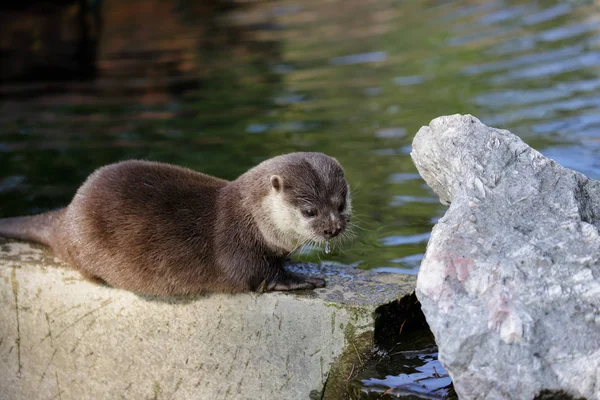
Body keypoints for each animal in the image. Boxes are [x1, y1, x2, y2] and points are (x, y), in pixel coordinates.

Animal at [0, 153, 352, 296]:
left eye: (340, 204)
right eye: (309, 211)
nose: (333, 228)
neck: (251, 217)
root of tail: (69, 213)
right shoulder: (237, 248)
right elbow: (261, 276)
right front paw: (305, 280)